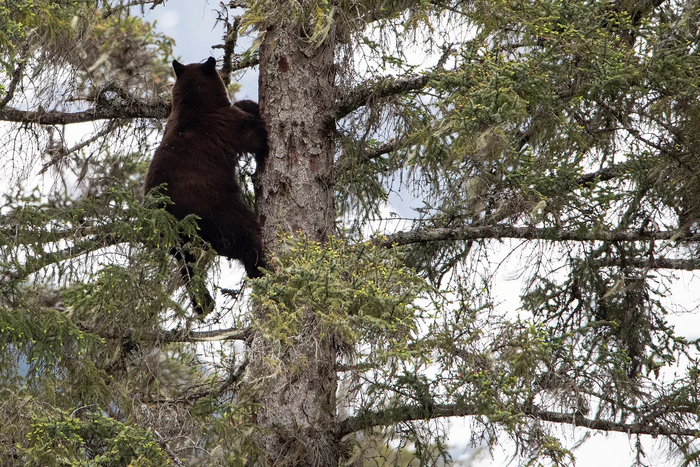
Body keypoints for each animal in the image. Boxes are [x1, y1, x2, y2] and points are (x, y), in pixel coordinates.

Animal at [144, 56, 268, 316]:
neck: (193, 106)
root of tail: (172, 218)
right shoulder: (226, 124)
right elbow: (254, 134)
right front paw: (252, 106)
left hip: (175, 240)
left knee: (187, 266)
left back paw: (203, 303)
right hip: (217, 210)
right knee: (243, 235)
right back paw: (258, 267)